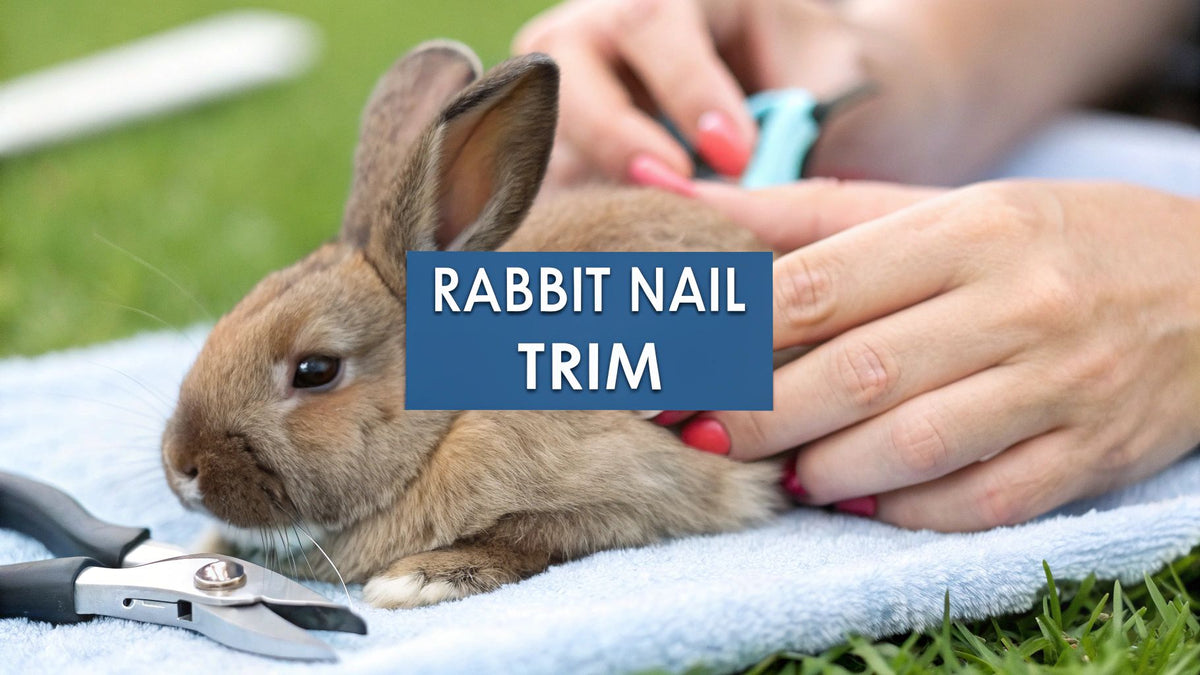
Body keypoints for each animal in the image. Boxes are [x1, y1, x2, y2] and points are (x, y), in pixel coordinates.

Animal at [160, 40, 785, 609]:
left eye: (315, 370)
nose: (180, 466)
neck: (446, 429)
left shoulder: (632, 487)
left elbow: (529, 539)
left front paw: (412, 581)